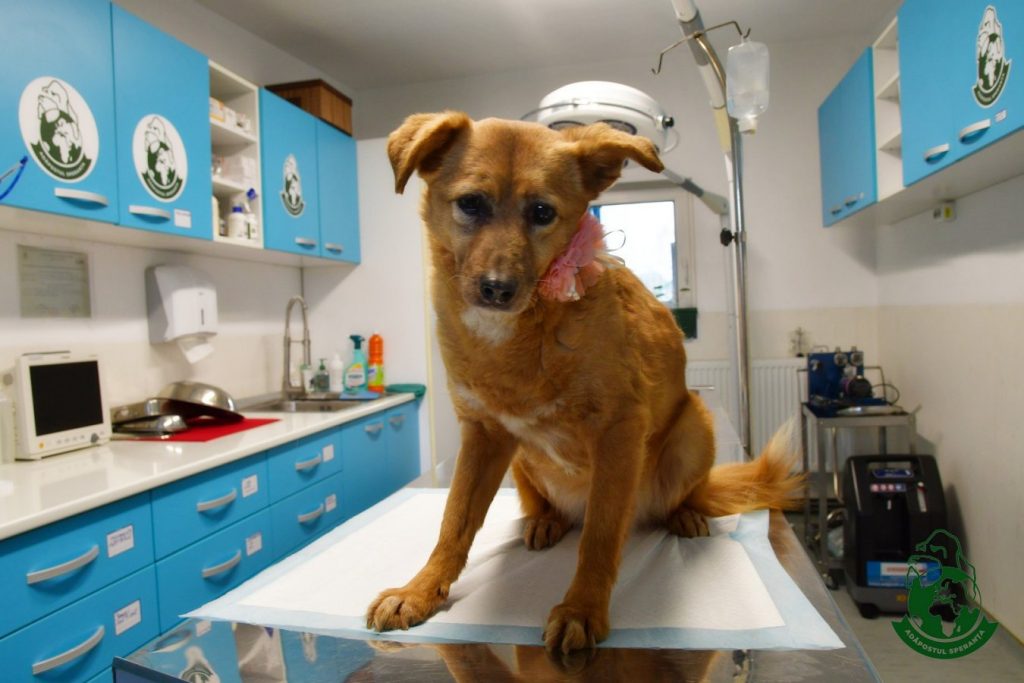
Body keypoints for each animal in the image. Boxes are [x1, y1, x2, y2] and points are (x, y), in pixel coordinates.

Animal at [367, 111, 803, 654]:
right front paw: (420, 590)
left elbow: (599, 536)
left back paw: (683, 515)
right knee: (547, 506)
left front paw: (582, 609)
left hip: (693, 428)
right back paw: (546, 520)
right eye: (470, 204)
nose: (497, 289)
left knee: (677, 498)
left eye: (542, 211)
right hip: (520, 462)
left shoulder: (619, 430)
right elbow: (454, 522)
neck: (519, 335)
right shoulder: (483, 435)